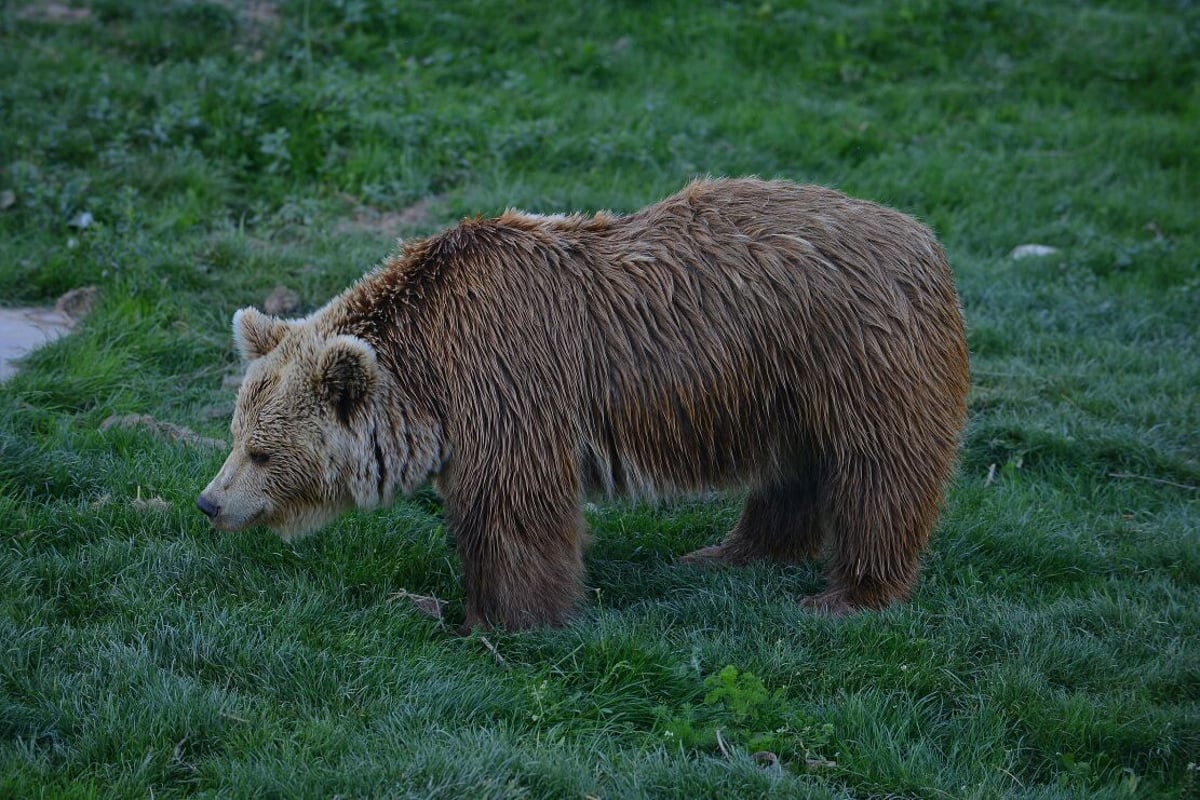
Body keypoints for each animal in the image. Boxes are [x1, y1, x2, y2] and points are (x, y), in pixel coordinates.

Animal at [194, 176, 964, 633]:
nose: (209, 502)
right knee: (794, 471)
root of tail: (923, 237)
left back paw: (847, 593)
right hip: (787, 382)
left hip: (860, 356)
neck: (430, 368)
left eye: (262, 451)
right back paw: (727, 553)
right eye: (233, 435)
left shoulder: (508, 377)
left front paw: (499, 619)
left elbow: (513, 507)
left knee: (878, 473)